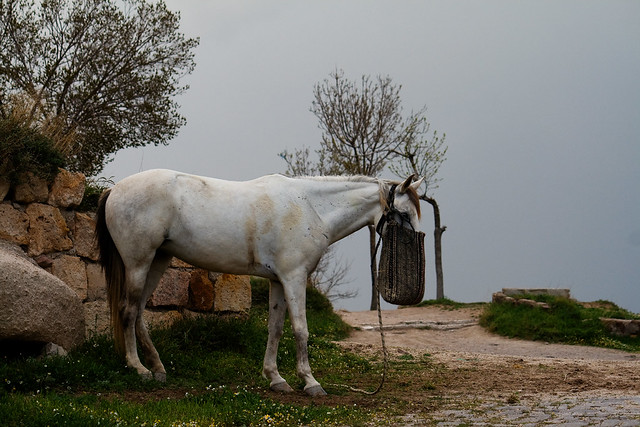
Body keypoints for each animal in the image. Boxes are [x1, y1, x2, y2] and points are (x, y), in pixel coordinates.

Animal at [95, 169, 423, 396]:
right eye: (405, 214)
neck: (311, 207)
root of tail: (114, 189)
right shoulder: (294, 278)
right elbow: (301, 330)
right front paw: (310, 382)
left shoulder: (278, 281)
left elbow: (275, 329)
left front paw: (276, 378)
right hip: (138, 263)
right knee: (128, 311)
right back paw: (138, 368)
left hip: (157, 261)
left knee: (138, 313)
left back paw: (158, 368)